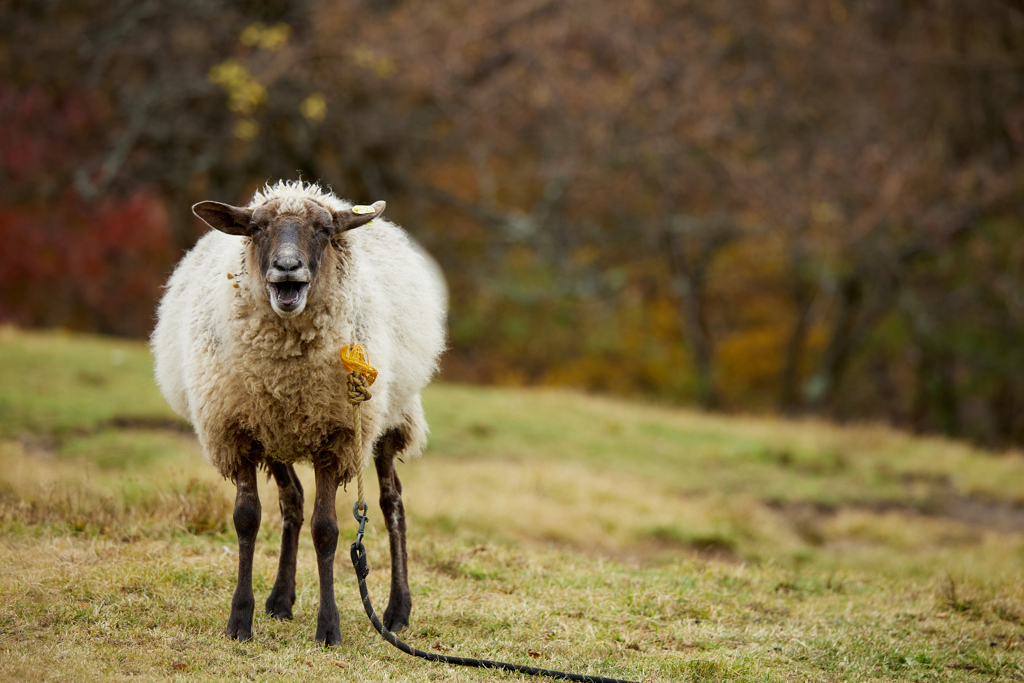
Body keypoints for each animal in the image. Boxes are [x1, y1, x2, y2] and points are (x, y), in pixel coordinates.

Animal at [149, 180, 446, 647]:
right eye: (255, 228)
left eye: (324, 230)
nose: (287, 268)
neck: (286, 367)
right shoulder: (239, 431)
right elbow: (247, 519)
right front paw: (241, 620)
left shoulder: (335, 436)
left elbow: (326, 530)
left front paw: (329, 627)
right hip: (276, 433)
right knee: (293, 501)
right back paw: (280, 600)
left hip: (387, 416)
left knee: (391, 501)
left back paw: (397, 610)